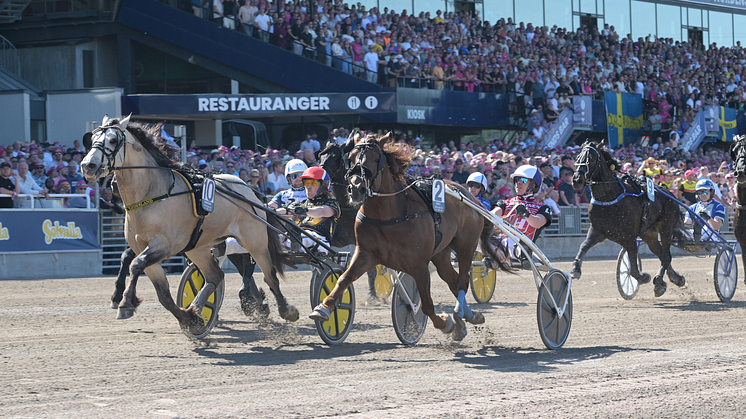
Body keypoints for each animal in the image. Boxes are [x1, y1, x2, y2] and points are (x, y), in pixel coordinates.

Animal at [79, 114, 294, 334]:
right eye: (92, 138)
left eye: (113, 140)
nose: (88, 166)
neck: (152, 194)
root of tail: (249, 189)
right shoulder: (142, 247)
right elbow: (161, 292)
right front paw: (191, 318)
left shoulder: (165, 245)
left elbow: (136, 264)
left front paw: (125, 303)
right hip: (199, 247)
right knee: (216, 275)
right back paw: (212, 307)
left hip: (255, 242)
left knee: (269, 275)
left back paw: (284, 309)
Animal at [308, 132, 512, 342]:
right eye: (350, 157)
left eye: (376, 158)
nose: (357, 189)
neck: (388, 214)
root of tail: (471, 197)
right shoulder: (365, 253)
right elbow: (344, 278)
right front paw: (324, 308)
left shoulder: (419, 264)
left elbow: (426, 305)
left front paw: (444, 323)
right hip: (440, 254)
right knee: (453, 281)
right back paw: (468, 318)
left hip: (466, 246)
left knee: (463, 280)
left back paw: (459, 315)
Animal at [568, 141, 684, 298]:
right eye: (577, 157)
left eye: (590, 158)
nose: (576, 180)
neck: (609, 198)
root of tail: (669, 193)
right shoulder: (597, 231)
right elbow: (584, 246)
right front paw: (575, 269)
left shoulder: (629, 237)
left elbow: (634, 269)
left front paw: (643, 277)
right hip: (649, 234)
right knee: (663, 255)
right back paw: (675, 279)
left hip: (666, 228)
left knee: (666, 256)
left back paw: (659, 281)